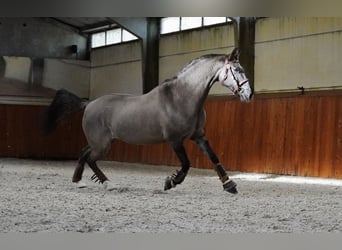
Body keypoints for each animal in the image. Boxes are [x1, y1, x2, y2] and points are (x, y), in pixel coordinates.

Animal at [43, 48, 251, 193]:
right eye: (236, 70)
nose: (248, 94)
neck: (183, 97)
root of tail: (88, 103)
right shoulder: (175, 140)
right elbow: (186, 164)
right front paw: (170, 182)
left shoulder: (199, 136)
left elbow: (214, 157)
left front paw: (229, 185)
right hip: (101, 144)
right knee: (90, 158)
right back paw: (107, 184)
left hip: (102, 142)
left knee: (84, 154)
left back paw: (79, 181)